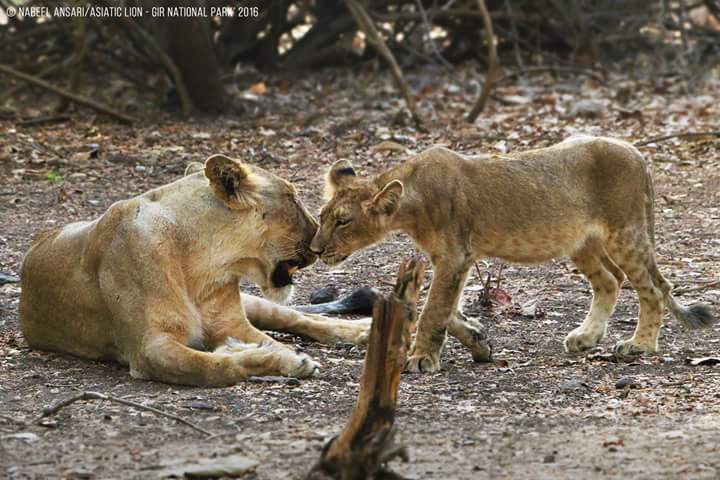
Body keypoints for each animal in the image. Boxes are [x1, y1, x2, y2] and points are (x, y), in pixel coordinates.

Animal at [19, 154, 370, 386]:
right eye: (293, 198)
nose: (316, 241)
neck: (203, 264)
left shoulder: (233, 322)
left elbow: (274, 339)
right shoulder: (150, 348)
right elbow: (215, 366)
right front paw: (276, 360)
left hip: (255, 304)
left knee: (299, 318)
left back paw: (363, 330)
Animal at [311, 136, 717, 373]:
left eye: (344, 221)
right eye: (323, 216)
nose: (315, 249)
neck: (411, 201)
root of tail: (637, 153)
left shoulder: (455, 256)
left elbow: (433, 311)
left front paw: (422, 359)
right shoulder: (456, 259)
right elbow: (448, 309)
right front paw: (478, 339)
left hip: (626, 232)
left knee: (653, 288)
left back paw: (639, 346)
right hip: (581, 242)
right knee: (610, 280)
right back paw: (585, 337)